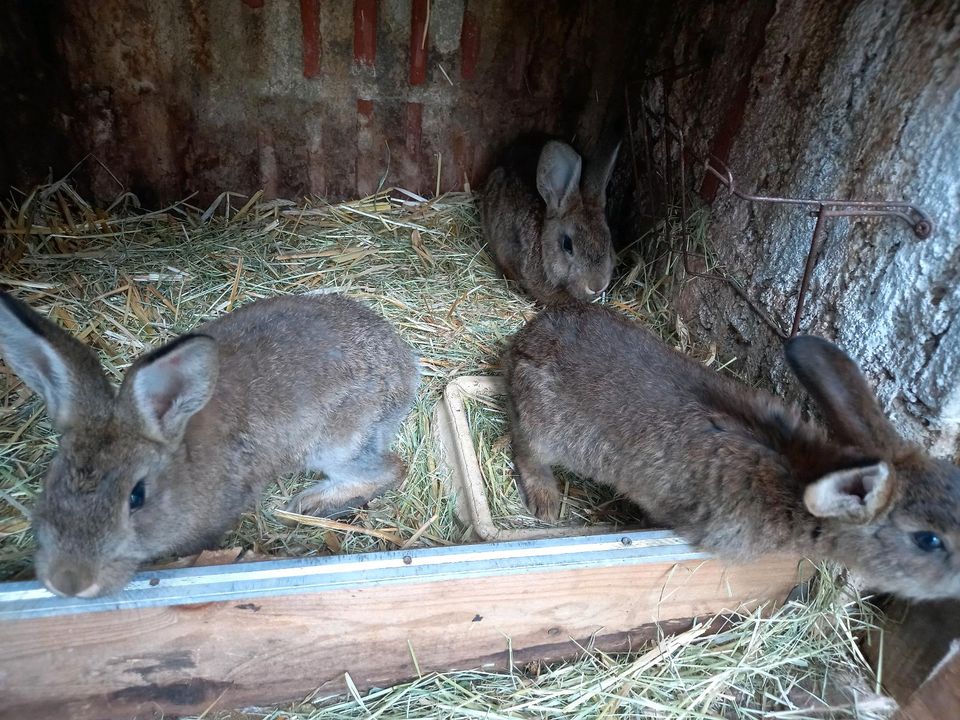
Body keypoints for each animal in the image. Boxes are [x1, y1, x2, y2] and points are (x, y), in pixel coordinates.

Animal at [0, 290, 420, 600]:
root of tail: (406, 367)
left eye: (136, 497)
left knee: (389, 469)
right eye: (52, 479)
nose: (68, 582)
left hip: (336, 444)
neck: (181, 460)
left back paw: (308, 504)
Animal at [502, 300, 960, 604]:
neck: (796, 476)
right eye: (928, 540)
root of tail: (529, 338)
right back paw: (545, 500)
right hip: (547, 429)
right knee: (525, 445)